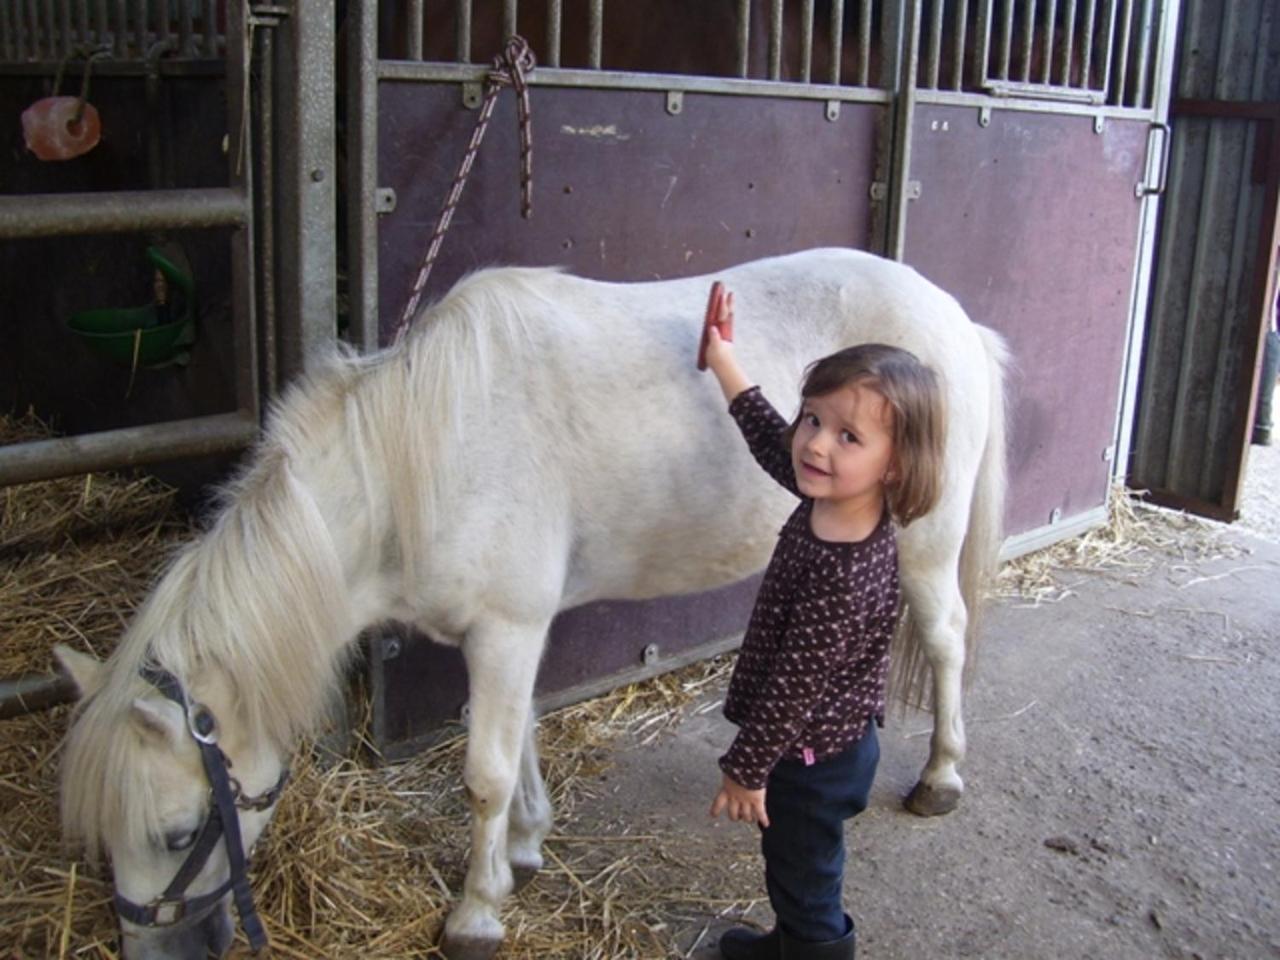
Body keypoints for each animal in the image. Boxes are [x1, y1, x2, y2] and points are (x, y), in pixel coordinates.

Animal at [57, 249, 998, 960]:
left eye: (179, 834)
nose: (154, 954)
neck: (420, 457)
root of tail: (956, 316)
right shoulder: (514, 631)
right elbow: (519, 740)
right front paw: (523, 846)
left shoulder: (504, 629)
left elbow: (484, 773)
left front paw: (476, 913)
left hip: (923, 544)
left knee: (947, 640)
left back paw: (941, 776)